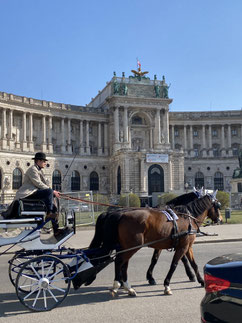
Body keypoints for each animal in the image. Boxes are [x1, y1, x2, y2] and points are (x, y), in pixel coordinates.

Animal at [89, 192, 221, 296]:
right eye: (218, 206)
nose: (220, 219)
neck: (186, 217)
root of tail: (121, 214)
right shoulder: (182, 246)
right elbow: (174, 264)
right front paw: (167, 285)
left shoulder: (186, 247)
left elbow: (193, 264)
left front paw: (201, 280)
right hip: (132, 246)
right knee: (119, 261)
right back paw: (119, 284)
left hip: (126, 246)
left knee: (123, 263)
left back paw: (126, 286)